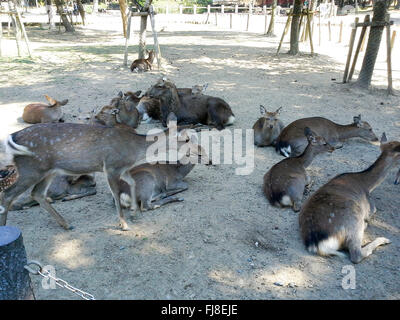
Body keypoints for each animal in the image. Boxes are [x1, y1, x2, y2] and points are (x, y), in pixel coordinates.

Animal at [0, 114, 203, 230]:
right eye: (186, 139)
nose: (201, 151)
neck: (133, 150)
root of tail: (11, 138)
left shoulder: (124, 169)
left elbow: (132, 183)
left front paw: (134, 212)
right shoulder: (111, 166)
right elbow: (116, 195)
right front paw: (124, 224)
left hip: (46, 171)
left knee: (37, 194)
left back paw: (67, 224)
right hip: (31, 169)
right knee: (8, 195)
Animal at [298, 132, 398, 262]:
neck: (367, 185)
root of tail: (317, 244)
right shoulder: (371, 207)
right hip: (354, 220)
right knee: (356, 254)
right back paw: (383, 238)